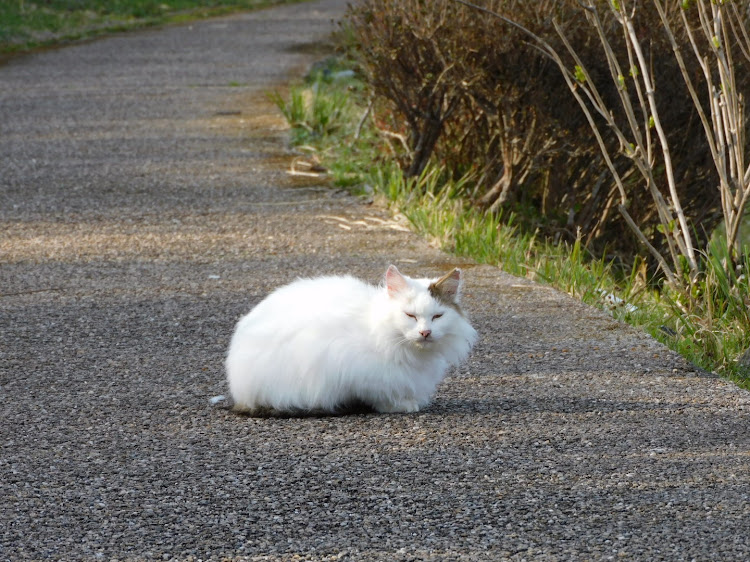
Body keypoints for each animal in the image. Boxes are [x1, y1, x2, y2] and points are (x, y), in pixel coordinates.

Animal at [226, 262, 478, 412]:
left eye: (437, 316)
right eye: (410, 315)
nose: (425, 332)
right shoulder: (363, 373)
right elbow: (383, 394)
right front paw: (405, 406)